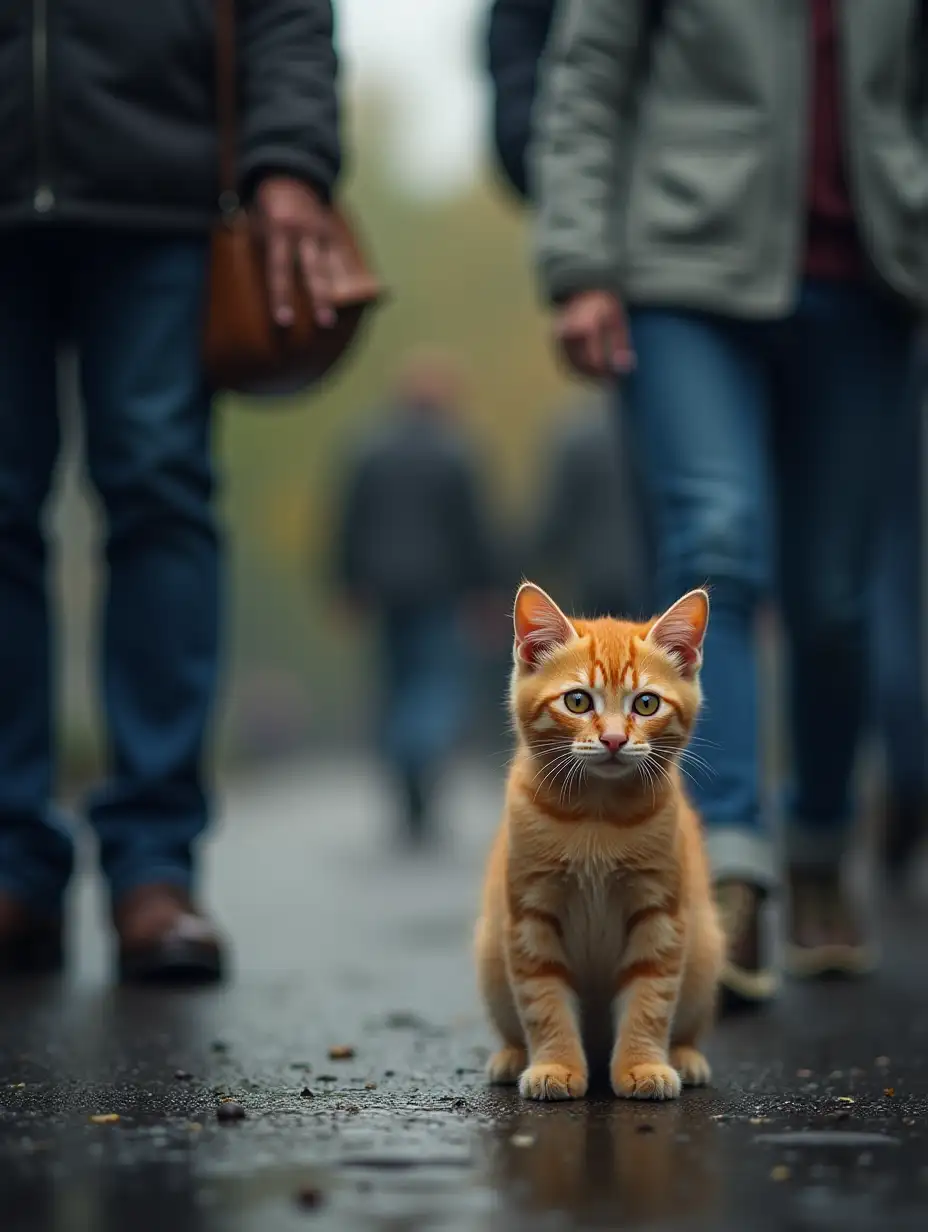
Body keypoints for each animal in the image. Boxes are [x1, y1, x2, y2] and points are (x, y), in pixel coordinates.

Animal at [478, 581, 724, 1103]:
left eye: (646, 704)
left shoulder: (661, 915)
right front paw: (554, 1065)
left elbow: (650, 998)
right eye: (577, 701)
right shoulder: (529, 915)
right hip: (490, 953)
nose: (613, 739)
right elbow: (543, 1000)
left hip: (705, 952)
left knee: (686, 1021)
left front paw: (642, 1065)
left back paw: (684, 1055)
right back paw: (512, 1055)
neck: (597, 814)